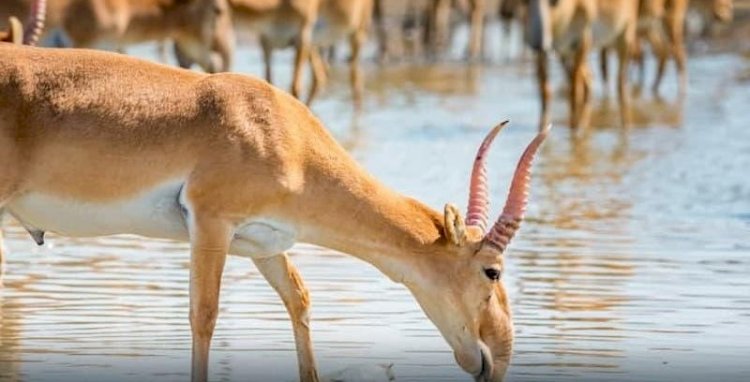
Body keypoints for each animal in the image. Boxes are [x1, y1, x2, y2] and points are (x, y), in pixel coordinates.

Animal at [0, 27, 552, 382]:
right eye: (492, 271)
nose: (499, 358)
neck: (287, 136)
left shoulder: (265, 244)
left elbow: (300, 299)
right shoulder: (211, 224)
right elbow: (204, 315)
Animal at [528, 0, 640, 130]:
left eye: (554, 3)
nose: (538, 43)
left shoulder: (582, 41)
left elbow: (574, 92)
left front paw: (574, 127)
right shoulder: (551, 51)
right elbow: (545, 91)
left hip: (624, 37)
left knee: (620, 82)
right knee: (589, 81)